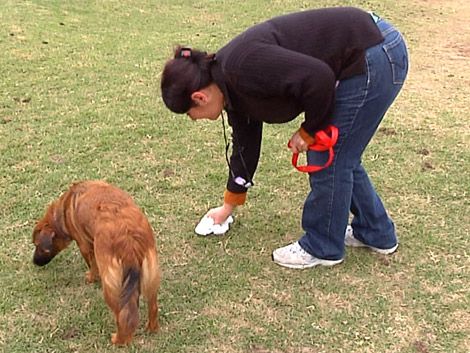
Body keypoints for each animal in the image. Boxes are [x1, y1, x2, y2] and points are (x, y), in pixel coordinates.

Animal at [32, 180, 160, 342]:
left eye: (37, 246)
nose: (34, 262)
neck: (64, 209)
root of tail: (128, 239)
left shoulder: (84, 245)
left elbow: (92, 266)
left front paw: (91, 278)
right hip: (151, 277)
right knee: (153, 307)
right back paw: (152, 329)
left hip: (112, 287)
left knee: (121, 318)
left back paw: (117, 340)